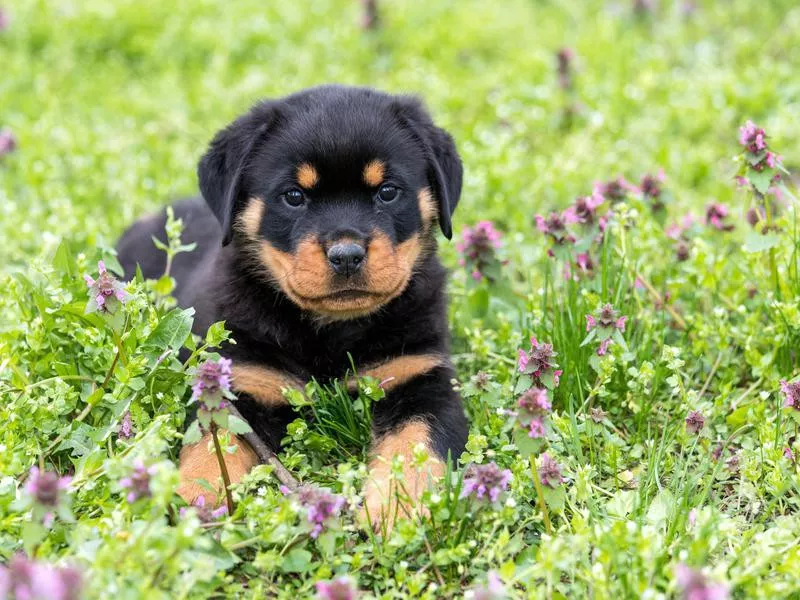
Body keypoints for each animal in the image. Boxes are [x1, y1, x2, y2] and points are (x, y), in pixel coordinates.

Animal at [117, 83, 468, 524]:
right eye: (294, 196)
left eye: (388, 192)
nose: (347, 255)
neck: (331, 332)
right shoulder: (241, 378)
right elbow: (212, 443)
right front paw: (197, 497)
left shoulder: (419, 374)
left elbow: (416, 441)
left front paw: (398, 506)